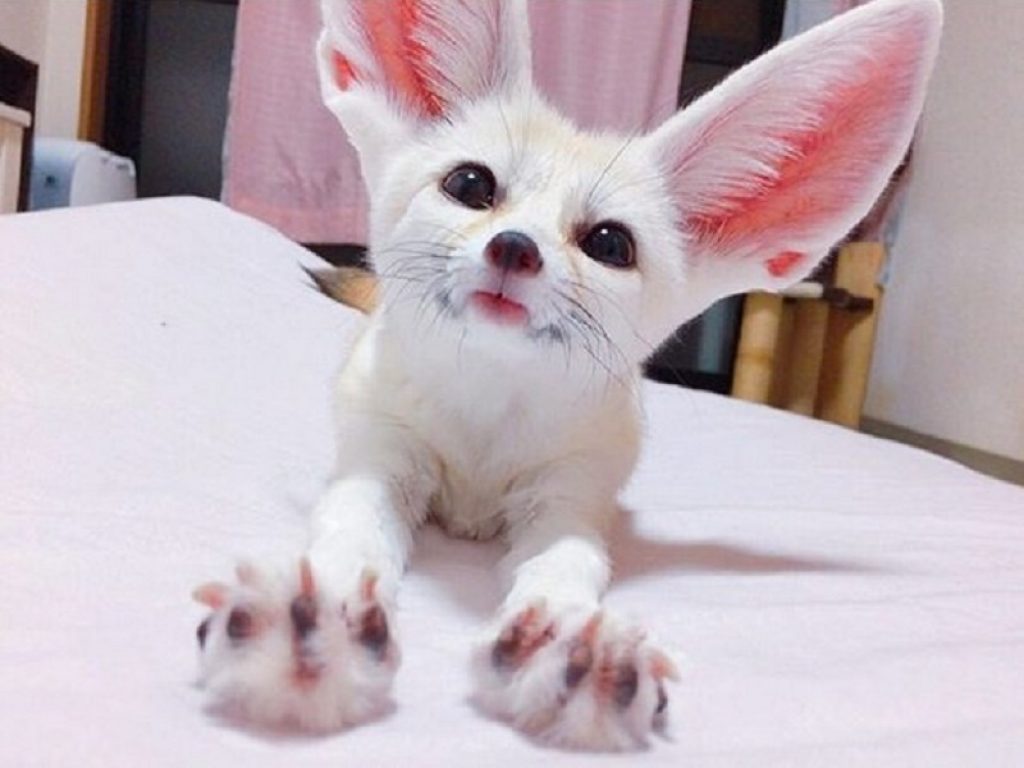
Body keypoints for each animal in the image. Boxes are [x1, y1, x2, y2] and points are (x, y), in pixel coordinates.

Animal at [193, 0, 941, 750]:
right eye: (471, 185)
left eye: (610, 244)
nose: (515, 248)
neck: (488, 402)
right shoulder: (379, 456)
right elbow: (351, 529)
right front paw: (320, 613)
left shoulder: (571, 495)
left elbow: (567, 564)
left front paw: (569, 642)